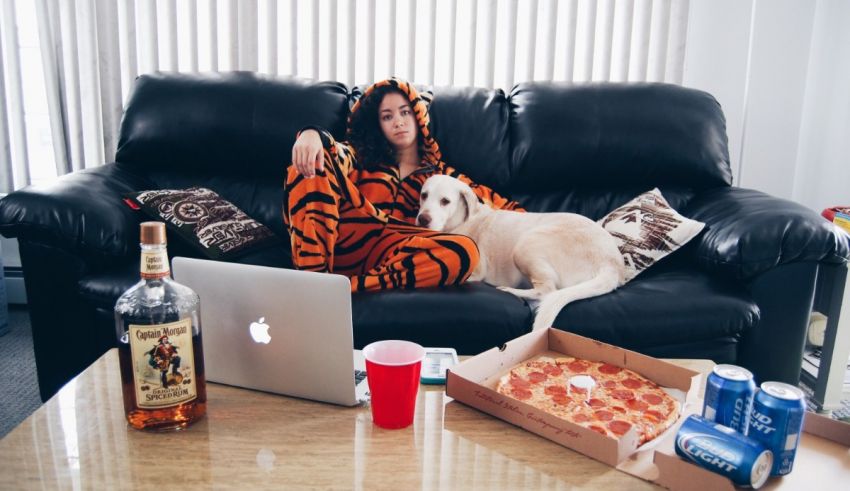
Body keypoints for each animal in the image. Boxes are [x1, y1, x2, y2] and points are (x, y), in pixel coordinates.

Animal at [416, 175, 624, 332]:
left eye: (445, 201)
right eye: (424, 195)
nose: (423, 219)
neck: (462, 221)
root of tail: (611, 263)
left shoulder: (475, 270)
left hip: (525, 246)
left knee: (547, 290)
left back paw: (510, 290)